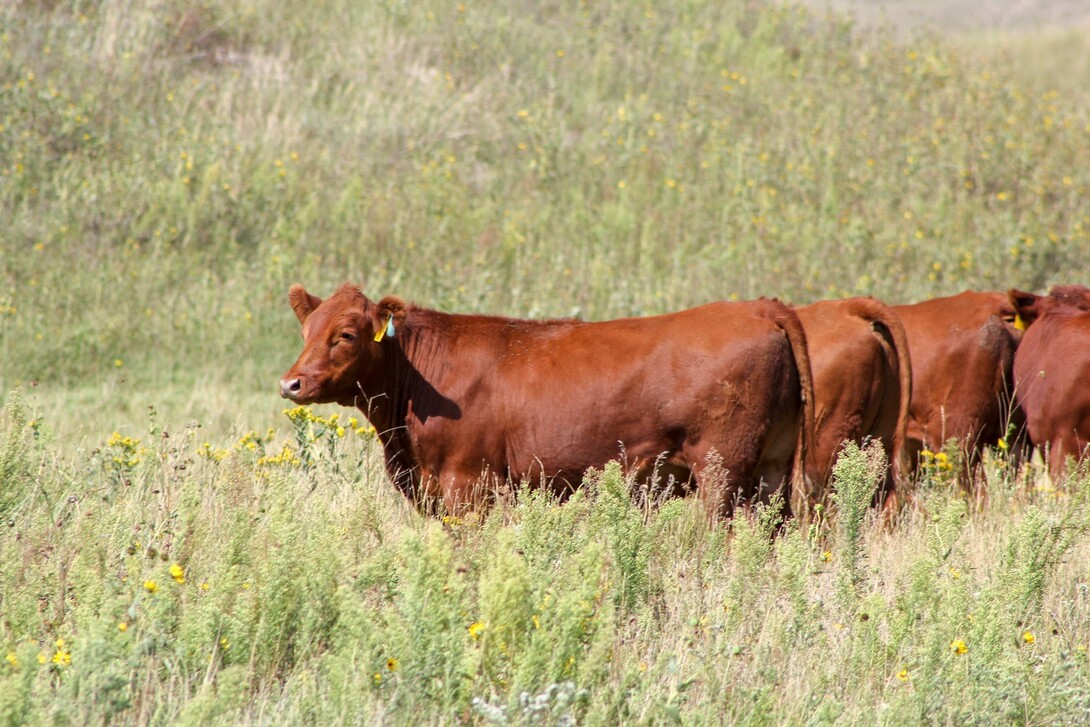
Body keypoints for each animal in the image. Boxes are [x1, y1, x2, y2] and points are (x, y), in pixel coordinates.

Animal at [276, 281, 815, 520]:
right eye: (306, 330)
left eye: (346, 335)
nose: (291, 384)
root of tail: (761, 307)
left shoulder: (467, 485)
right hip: (771, 465)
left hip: (722, 468)